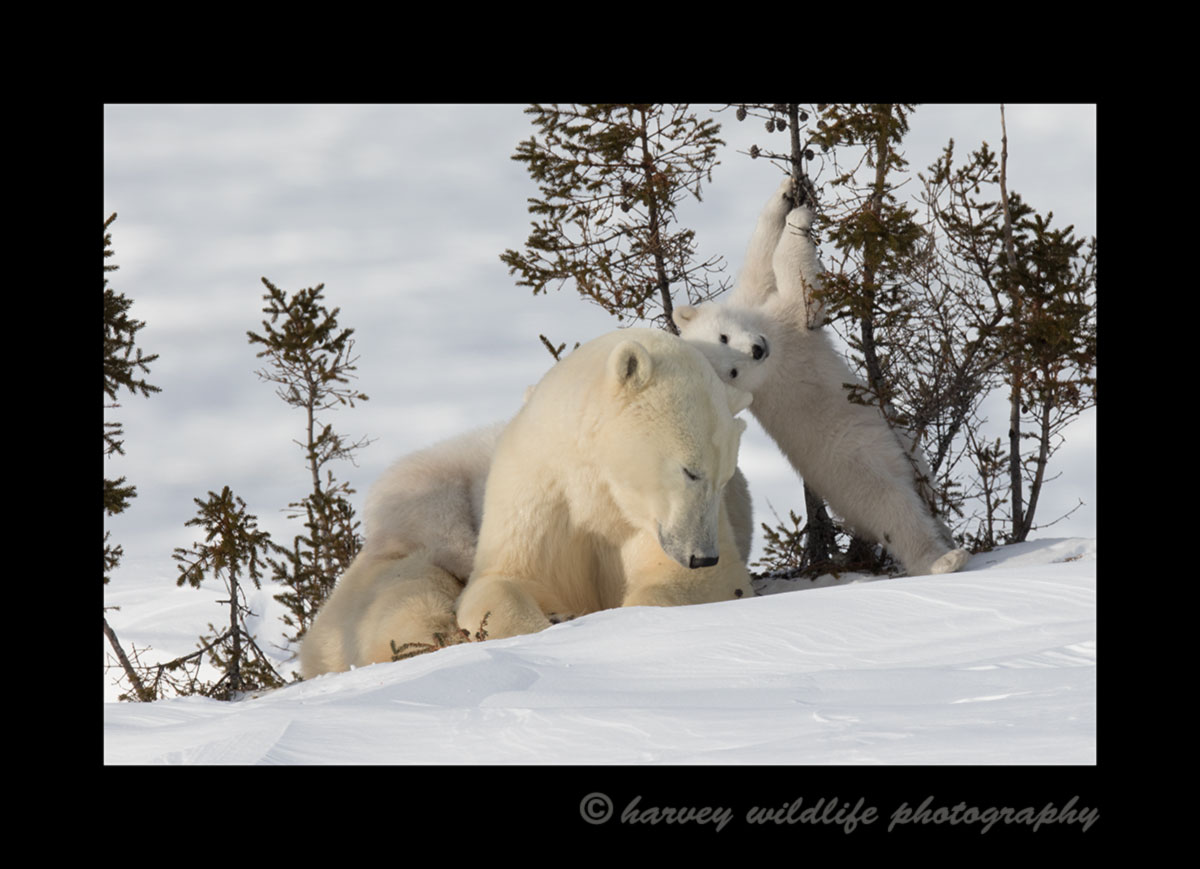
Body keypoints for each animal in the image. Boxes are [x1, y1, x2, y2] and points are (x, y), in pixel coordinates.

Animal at [453, 326, 753, 638]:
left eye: (724, 479)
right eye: (690, 471)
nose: (703, 557)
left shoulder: (647, 524)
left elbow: (703, 580)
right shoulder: (541, 496)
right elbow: (503, 578)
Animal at [672, 177, 969, 576]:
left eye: (723, 337)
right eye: (732, 371)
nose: (757, 350)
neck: (771, 345)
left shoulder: (756, 309)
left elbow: (760, 264)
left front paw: (787, 193)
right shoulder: (788, 332)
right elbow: (799, 286)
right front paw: (800, 218)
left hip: (903, 446)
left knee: (924, 482)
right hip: (852, 472)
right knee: (894, 508)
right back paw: (944, 559)